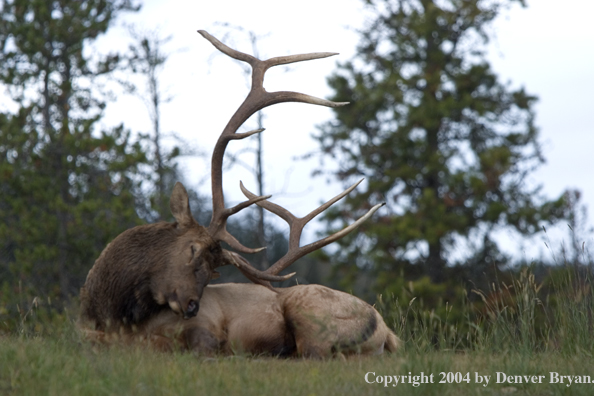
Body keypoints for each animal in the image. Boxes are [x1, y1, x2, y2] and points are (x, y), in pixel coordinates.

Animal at [77, 31, 398, 358]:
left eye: (211, 268)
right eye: (192, 250)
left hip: (310, 314)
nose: (192, 305)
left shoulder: (204, 330)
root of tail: (386, 329)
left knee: (315, 354)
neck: (112, 315)